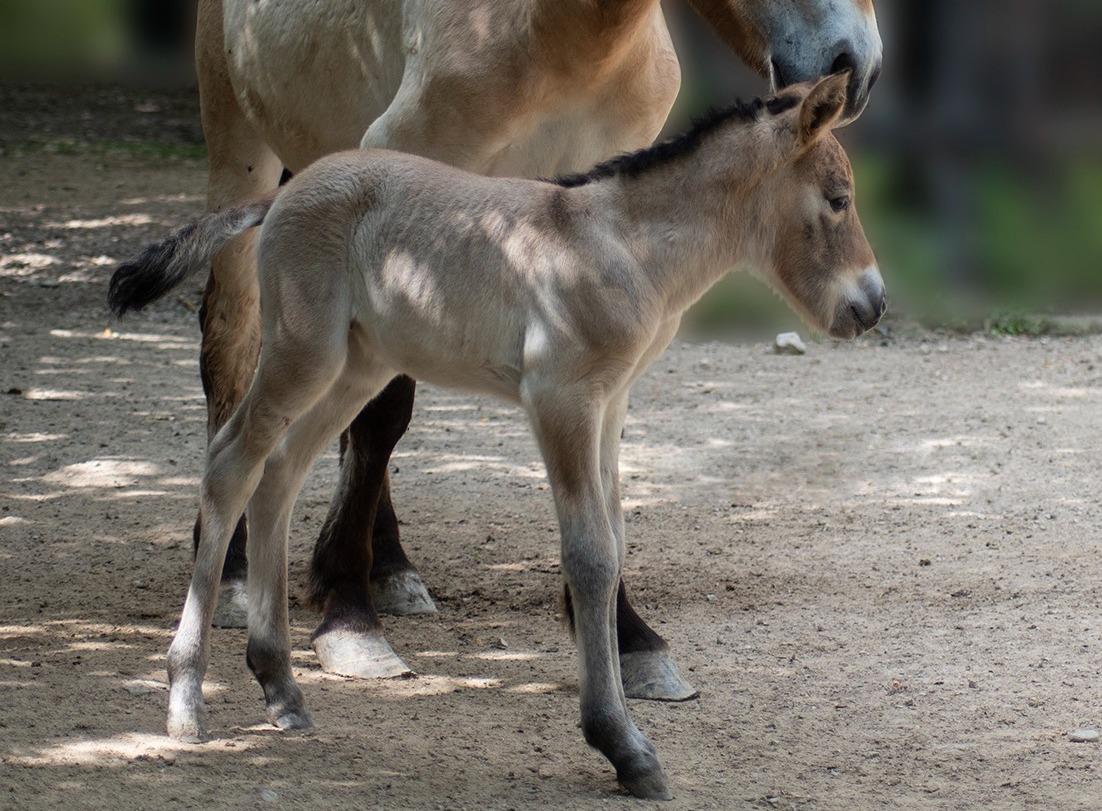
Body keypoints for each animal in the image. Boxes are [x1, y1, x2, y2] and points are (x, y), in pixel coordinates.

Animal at [109, 72, 886, 802]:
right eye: (838, 199)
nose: (873, 305)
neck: (622, 247)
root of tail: (286, 191)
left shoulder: (611, 404)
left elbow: (615, 541)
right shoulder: (561, 400)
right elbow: (591, 554)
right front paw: (622, 745)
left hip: (357, 366)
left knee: (280, 473)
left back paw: (281, 689)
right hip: (303, 351)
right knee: (232, 462)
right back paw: (186, 698)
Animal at [189, 0, 877, 696]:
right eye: (839, 201)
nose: (857, 66)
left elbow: (608, 509)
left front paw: (630, 640)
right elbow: (397, 425)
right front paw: (350, 623)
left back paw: (380, 573)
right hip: (246, 165)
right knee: (235, 365)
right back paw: (239, 582)